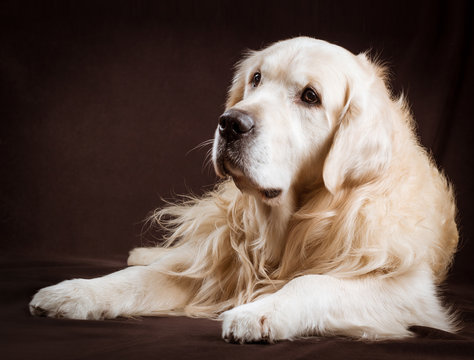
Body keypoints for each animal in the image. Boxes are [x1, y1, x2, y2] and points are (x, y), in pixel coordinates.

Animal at [30, 37, 460, 344]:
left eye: (310, 96)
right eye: (256, 79)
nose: (231, 123)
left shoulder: (408, 290)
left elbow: (314, 282)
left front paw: (259, 311)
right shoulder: (215, 266)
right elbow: (139, 278)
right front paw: (76, 292)